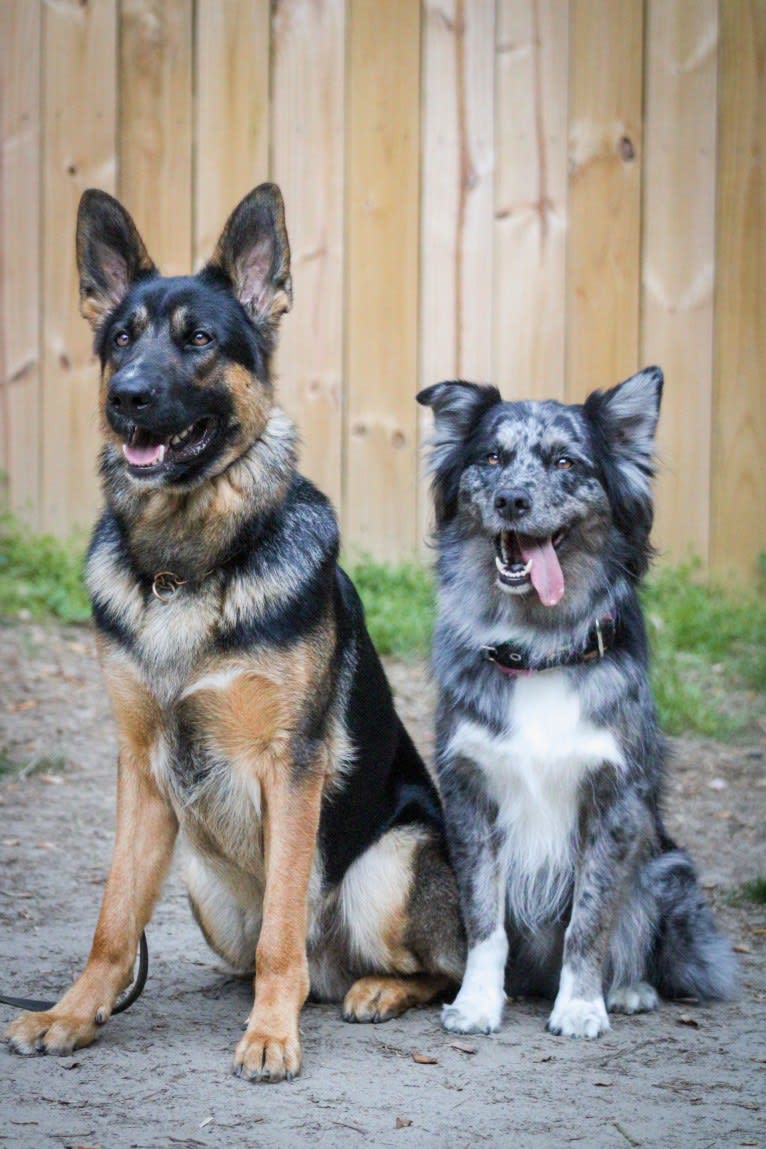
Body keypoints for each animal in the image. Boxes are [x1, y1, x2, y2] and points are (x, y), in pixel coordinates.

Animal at [420, 374, 734, 1043]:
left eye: (566, 462)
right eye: (492, 458)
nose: (512, 500)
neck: (540, 650)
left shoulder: (612, 802)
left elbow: (590, 920)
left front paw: (582, 1005)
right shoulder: (469, 794)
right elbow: (483, 917)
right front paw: (478, 1003)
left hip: (668, 867)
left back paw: (632, 989)